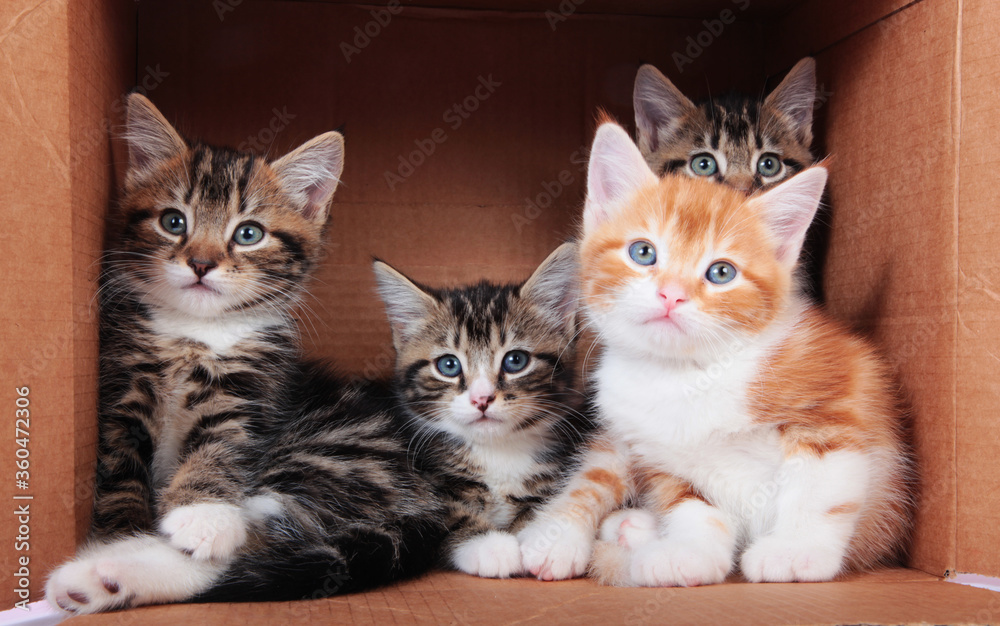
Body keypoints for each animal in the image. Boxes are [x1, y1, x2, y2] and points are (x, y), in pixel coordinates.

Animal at [376, 243, 592, 576]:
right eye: (448, 365)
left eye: (515, 361)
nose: (482, 399)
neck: (497, 451)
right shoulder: (423, 479)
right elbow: (442, 512)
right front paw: (491, 546)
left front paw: (551, 540)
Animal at [520, 123, 912, 584]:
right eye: (642, 252)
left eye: (721, 272)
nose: (672, 294)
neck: (688, 373)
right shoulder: (656, 452)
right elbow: (691, 504)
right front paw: (691, 552)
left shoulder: (834, 405)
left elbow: (820, 487)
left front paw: (797, 550)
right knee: (593, 476)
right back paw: (563, 536)